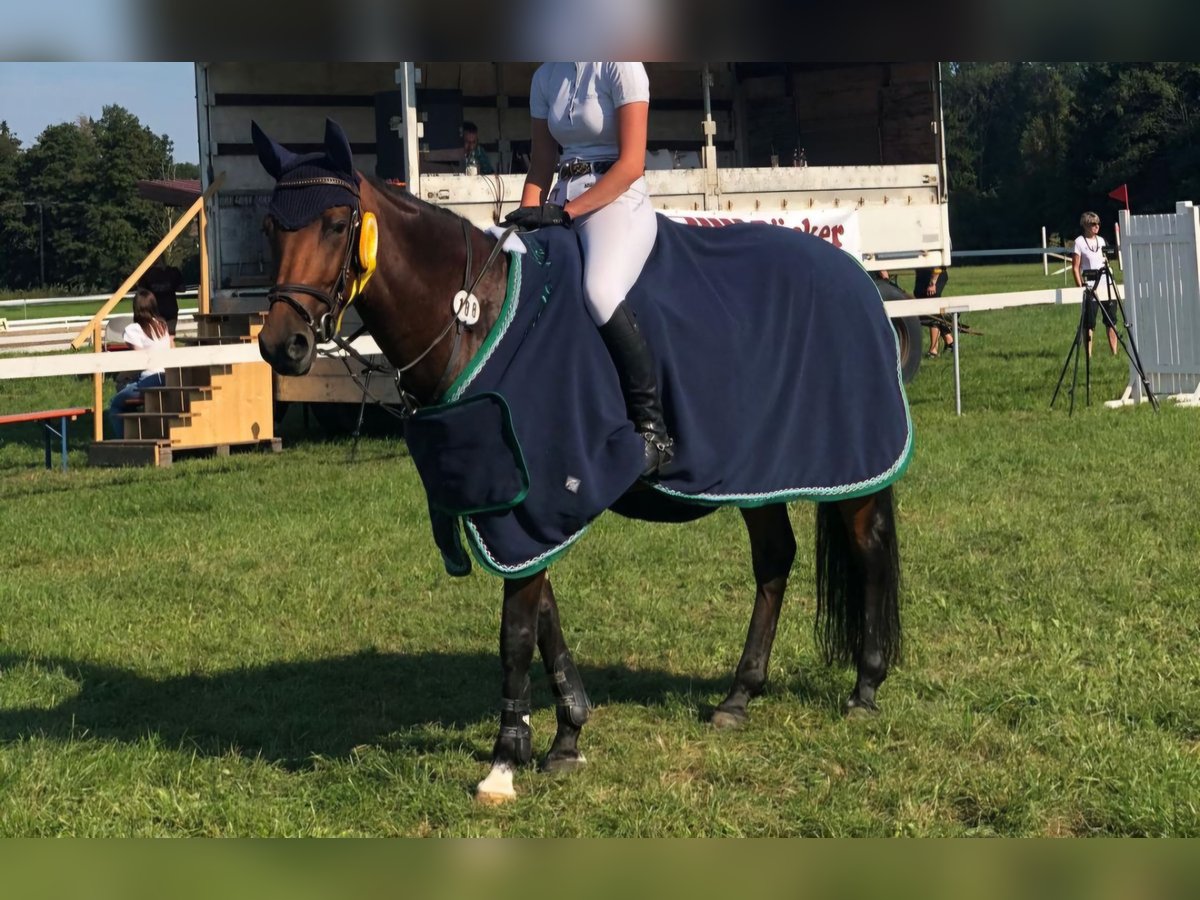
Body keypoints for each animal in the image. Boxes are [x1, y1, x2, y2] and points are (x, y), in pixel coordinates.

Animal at [258, 120, 902, 801]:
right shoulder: (516, 508)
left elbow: (516, 630)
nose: (281, 344)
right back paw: (739, 696)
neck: (473, 314)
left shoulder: (531, 498)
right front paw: (566, 734)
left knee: (868, 551)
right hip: (757, 473)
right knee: (775, 558)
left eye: (335, 223)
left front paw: (504, 761)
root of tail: (855, 276)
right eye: (270, 225)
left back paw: (865, 688)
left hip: (851, 467)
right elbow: (545, 618)